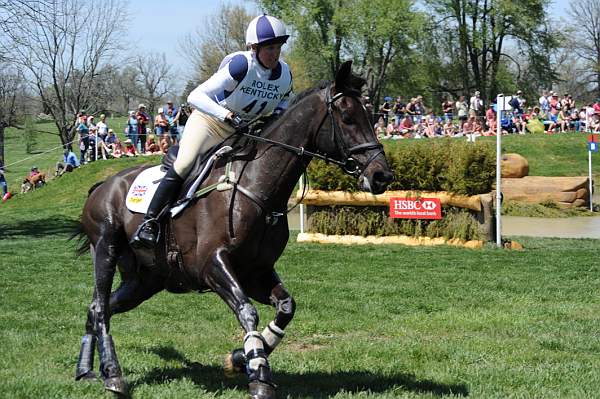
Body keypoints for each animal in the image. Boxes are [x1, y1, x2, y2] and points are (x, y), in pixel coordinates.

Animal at [74, 61, 394, 398]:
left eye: (371, 115)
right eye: (347, 117)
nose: (381, 175)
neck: (257, 187)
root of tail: (102, 185)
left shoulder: (256, 270)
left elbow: (286, 307)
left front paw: (241, 358)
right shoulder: (212, 265)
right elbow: (247, 311)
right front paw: (258, 375)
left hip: (144, 280)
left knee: (99, 308)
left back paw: (86, 371)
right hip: (106, 247)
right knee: (99, 308)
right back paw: (113, 375)